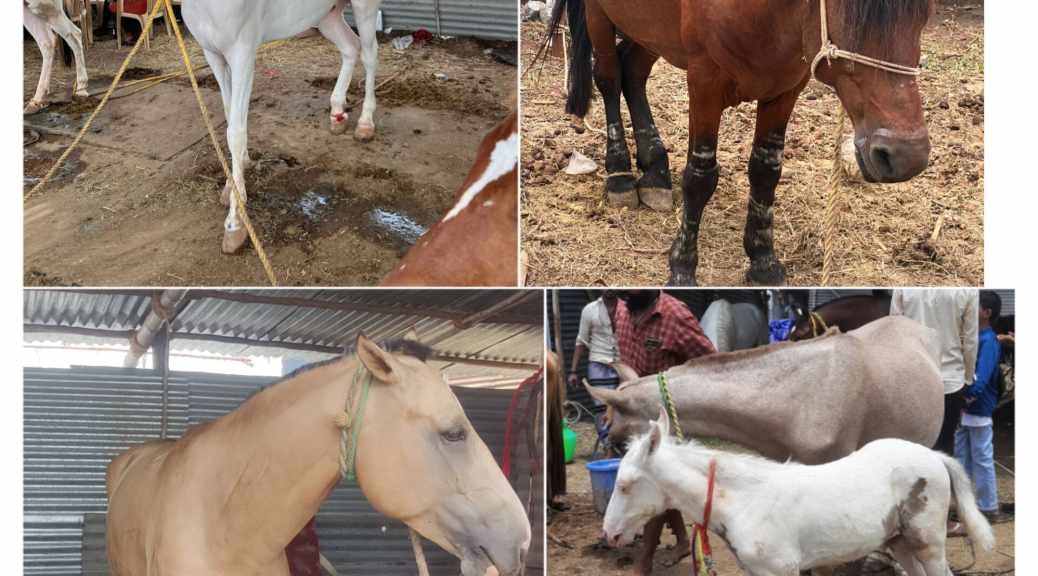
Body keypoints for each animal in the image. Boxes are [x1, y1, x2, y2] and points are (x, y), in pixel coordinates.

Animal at [181, 0, 382, 253]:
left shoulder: (242, 53)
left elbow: (235, 132)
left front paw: (235, 225)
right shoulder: (213, 55)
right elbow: (231, 116)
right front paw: (235, 183)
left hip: (364, 7)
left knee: (369, 54)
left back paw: (365, 124)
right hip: (328, 15)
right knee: (350, 48)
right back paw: (337, 113)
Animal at [544, 0, 934, 285]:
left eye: (925, 12)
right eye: (852, 12)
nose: (906, 156)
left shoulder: (786, 87)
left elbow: (766, 172)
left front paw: (762, 259)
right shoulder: (704, 80)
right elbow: (700, 177)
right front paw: (682, 266)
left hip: (652, 29)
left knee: (633, 72)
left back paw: (655, 172)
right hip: (600, 15)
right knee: (609, 78)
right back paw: (621, 175)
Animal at [605, 410, 995, 576]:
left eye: (624, 485)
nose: (610, 534)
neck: (745, 503)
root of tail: (933, 456)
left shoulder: (782, 569)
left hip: (928, 543)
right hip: (900, 541)